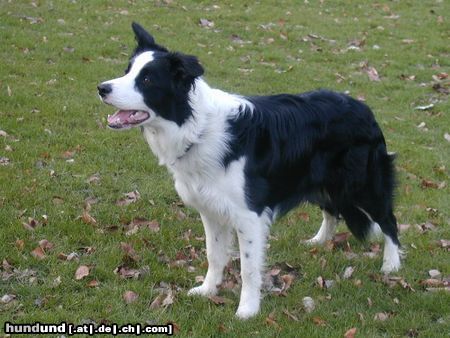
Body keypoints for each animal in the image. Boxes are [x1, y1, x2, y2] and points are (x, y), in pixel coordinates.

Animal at [98, 22, 400, 318]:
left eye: (147, 80)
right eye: (127, 71)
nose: (102, 88)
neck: (196, 128)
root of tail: (364, 107)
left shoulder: (249, 215)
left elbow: (248, 268)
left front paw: (248, 309)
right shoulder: (210, 208)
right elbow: (213, 254)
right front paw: (208, 290)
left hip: (363, 184)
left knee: (388, 220)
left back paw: (392, 265)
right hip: (321, 182)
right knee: (332, 210)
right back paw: (318, 241)